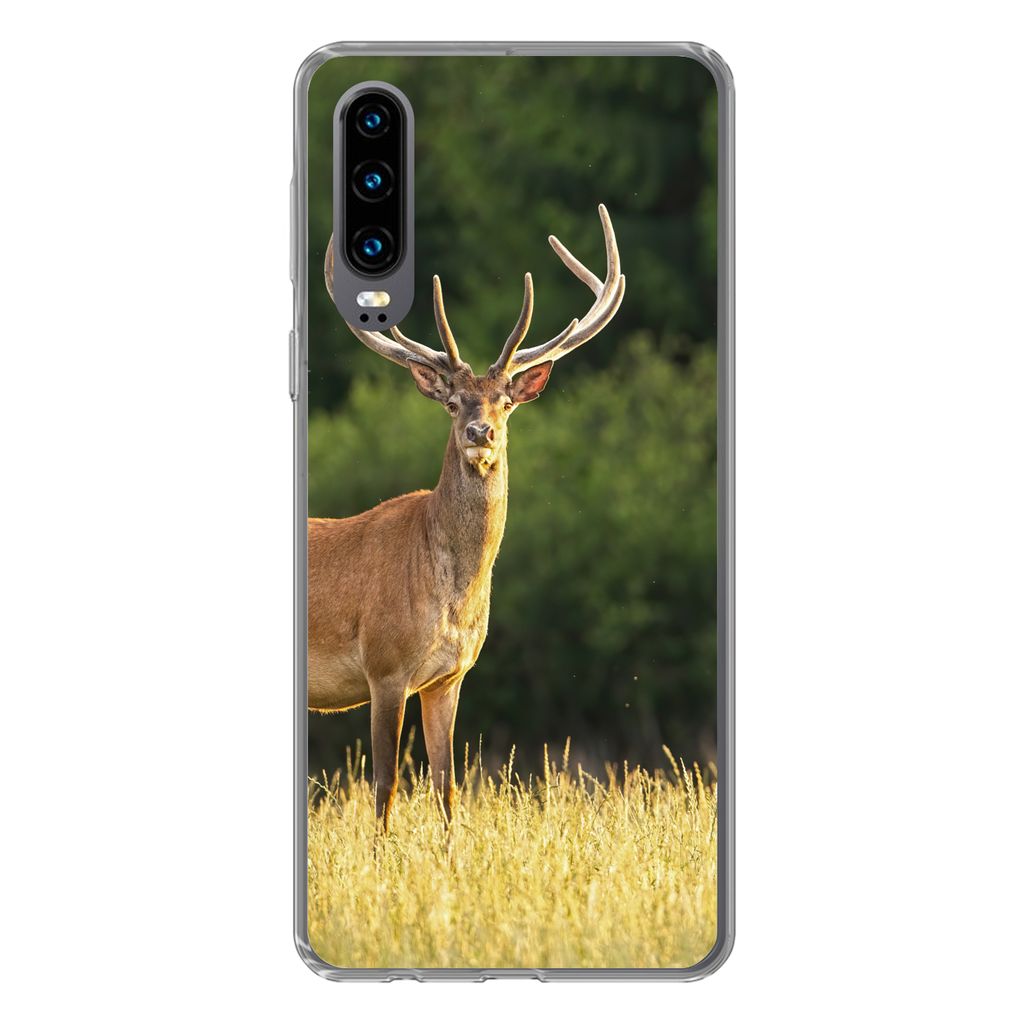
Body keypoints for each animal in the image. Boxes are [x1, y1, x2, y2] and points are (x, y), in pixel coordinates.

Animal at [309, 205, 625, 830]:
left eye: (505, 401)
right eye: (453, 402)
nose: (481, 432)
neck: (451, 598)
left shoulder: (449, 677)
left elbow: (447, 787)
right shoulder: (384, 665)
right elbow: (384, 786)